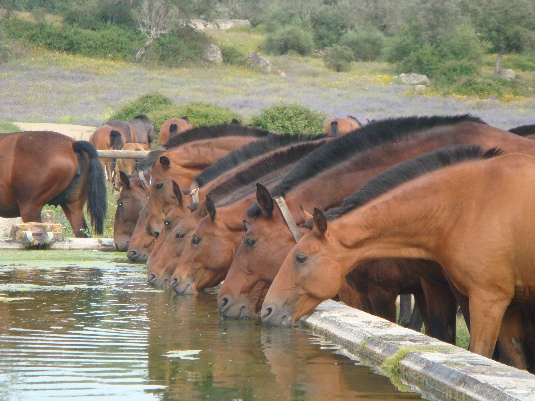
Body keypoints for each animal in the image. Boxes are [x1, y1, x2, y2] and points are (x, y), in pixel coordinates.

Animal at [260, 143, 535, 368]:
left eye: (300, 258)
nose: (267, 310)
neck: (467, 204)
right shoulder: (507, 304)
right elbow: (515, 361)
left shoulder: (488, 300)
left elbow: (482, 352)